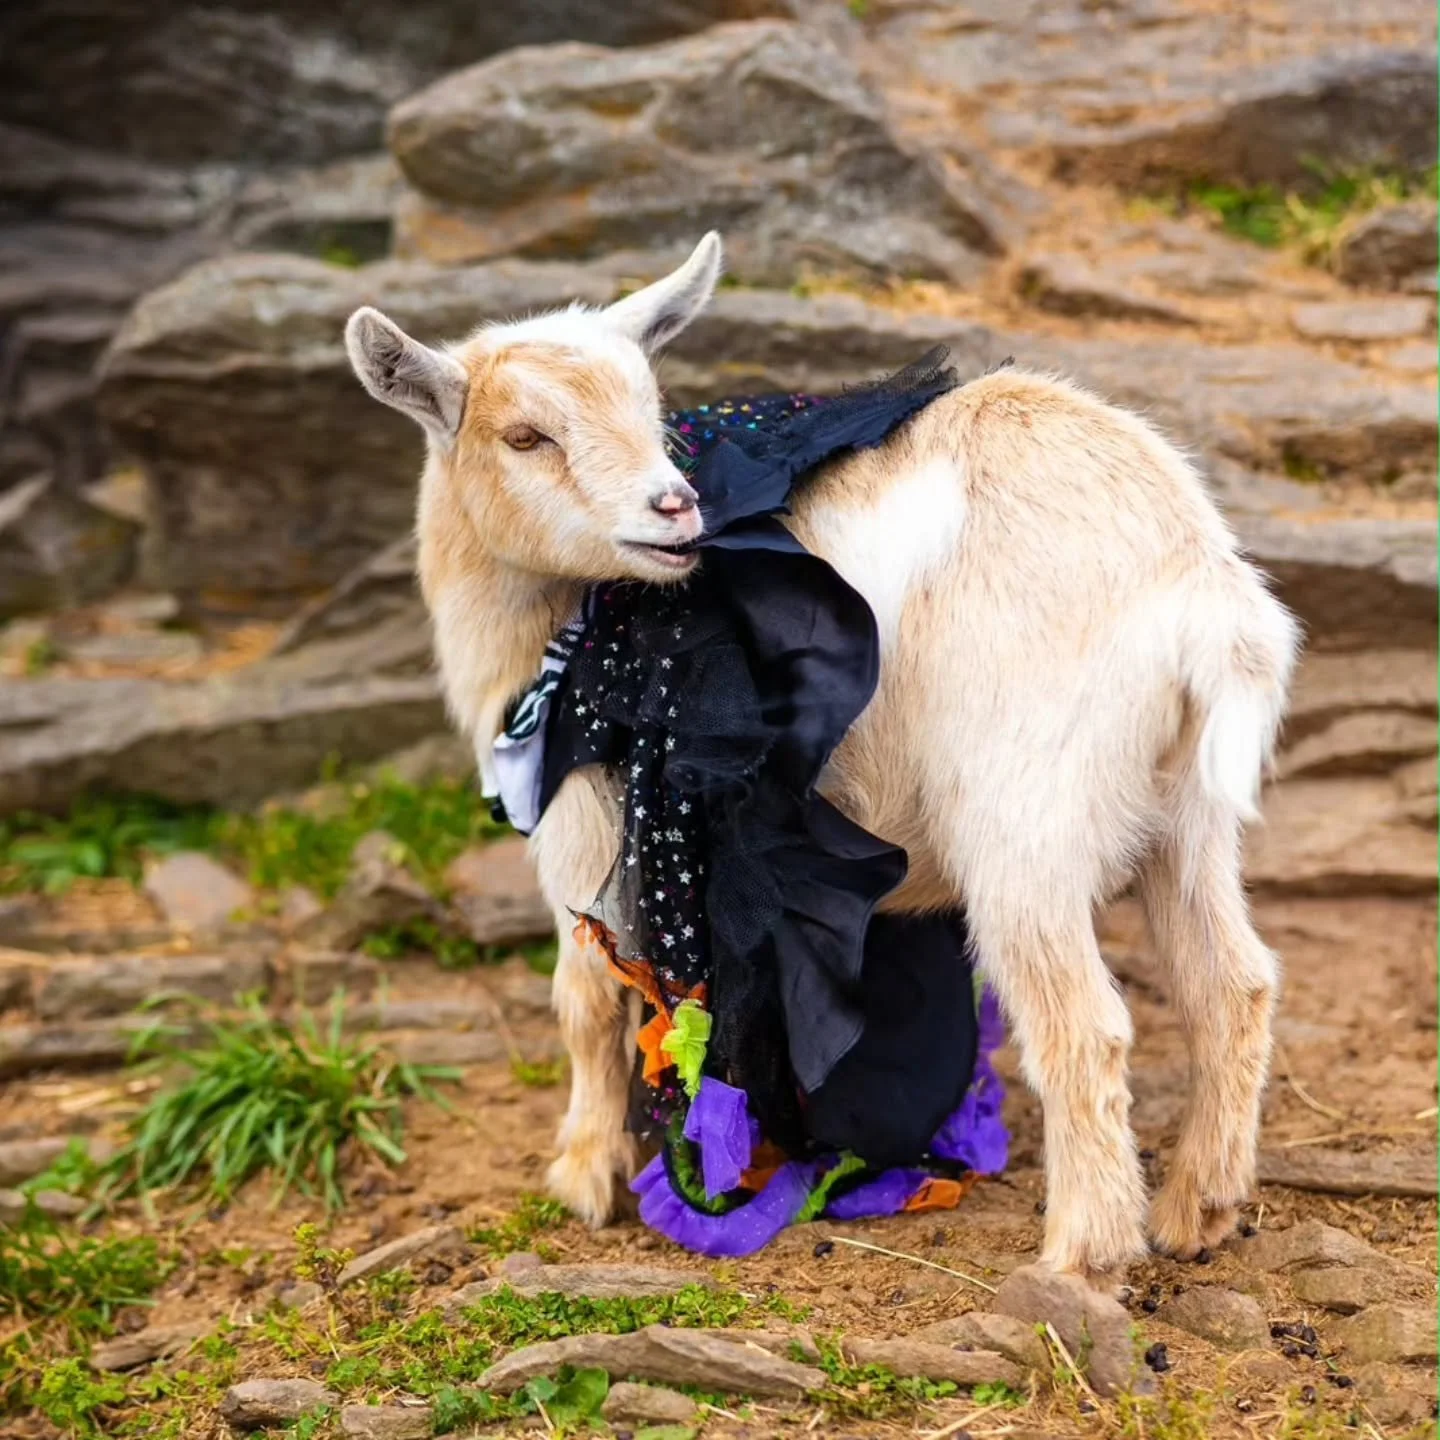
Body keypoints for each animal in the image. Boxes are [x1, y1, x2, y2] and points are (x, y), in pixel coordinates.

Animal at [345, 232, 1299, 1282]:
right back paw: (1199, 1207)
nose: (672, 506)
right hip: (1188, 812)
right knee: (1232, 985)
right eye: (525, 437)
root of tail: (1204, 597)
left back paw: (1081, 1256)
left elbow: (588, 1000)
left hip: (1025, 815)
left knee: (1085, 1028)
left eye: (648, 408)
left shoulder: (584, 820)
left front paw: (585, 1177)